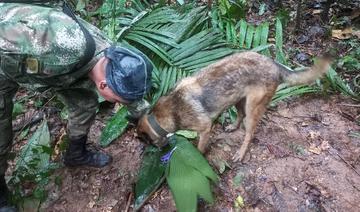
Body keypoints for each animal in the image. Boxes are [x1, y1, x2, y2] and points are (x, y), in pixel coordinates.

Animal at [136, 51, 330, 161]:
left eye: (148, 142)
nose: (160, 150)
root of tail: (274, 64)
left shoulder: (205, 128)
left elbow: (200, 148)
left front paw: (199, 157)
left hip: (253, 108)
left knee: (249, 133)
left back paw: (241, 153)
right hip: (238, 98)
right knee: (240, 115)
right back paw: (232, 127)